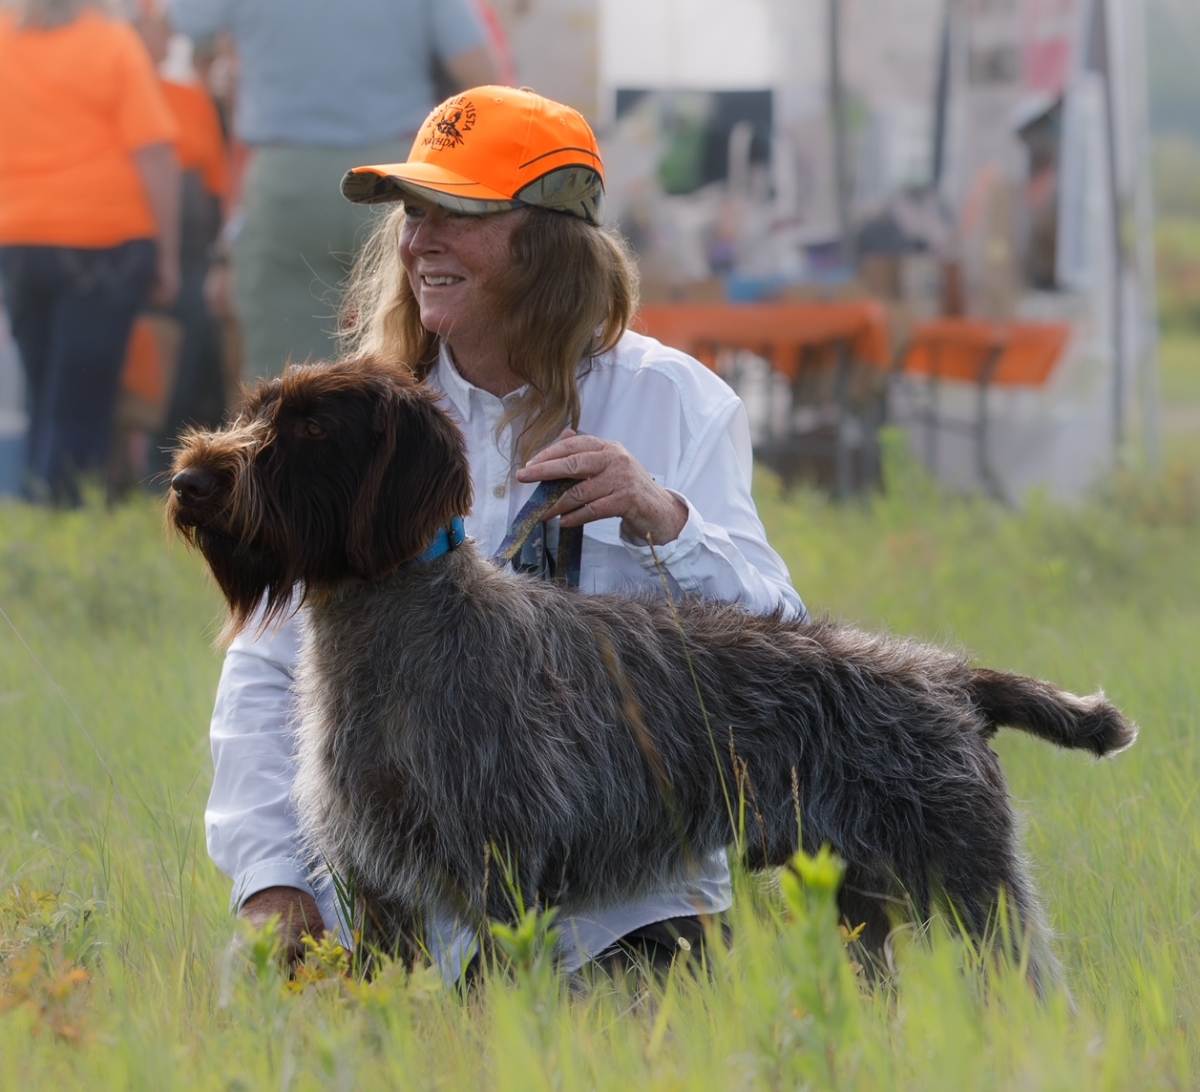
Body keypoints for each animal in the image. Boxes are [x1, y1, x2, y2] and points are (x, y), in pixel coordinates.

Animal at [166, 357, 1132, 993]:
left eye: (312, 427)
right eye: (258, 410)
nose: (187, 479)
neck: (397, 628)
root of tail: (951, 677)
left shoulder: (502, 880)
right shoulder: (378, 892)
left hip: (972, 894)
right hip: (860, 904)